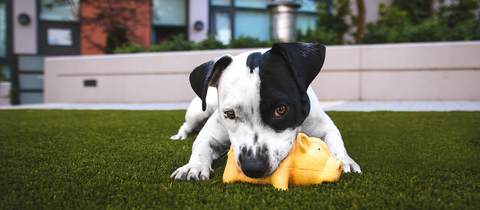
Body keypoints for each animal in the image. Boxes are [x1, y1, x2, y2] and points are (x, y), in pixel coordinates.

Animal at [171, 42, 362, 180]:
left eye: (281, 109)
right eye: (230, 114)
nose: (253, 167)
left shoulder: (325, 127)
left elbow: (335, 141)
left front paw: (345, 161)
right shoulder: (210, 134)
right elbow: (200, 145)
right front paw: (193, 166)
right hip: (198, 111)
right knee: (186, 125)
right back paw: (180, 136)